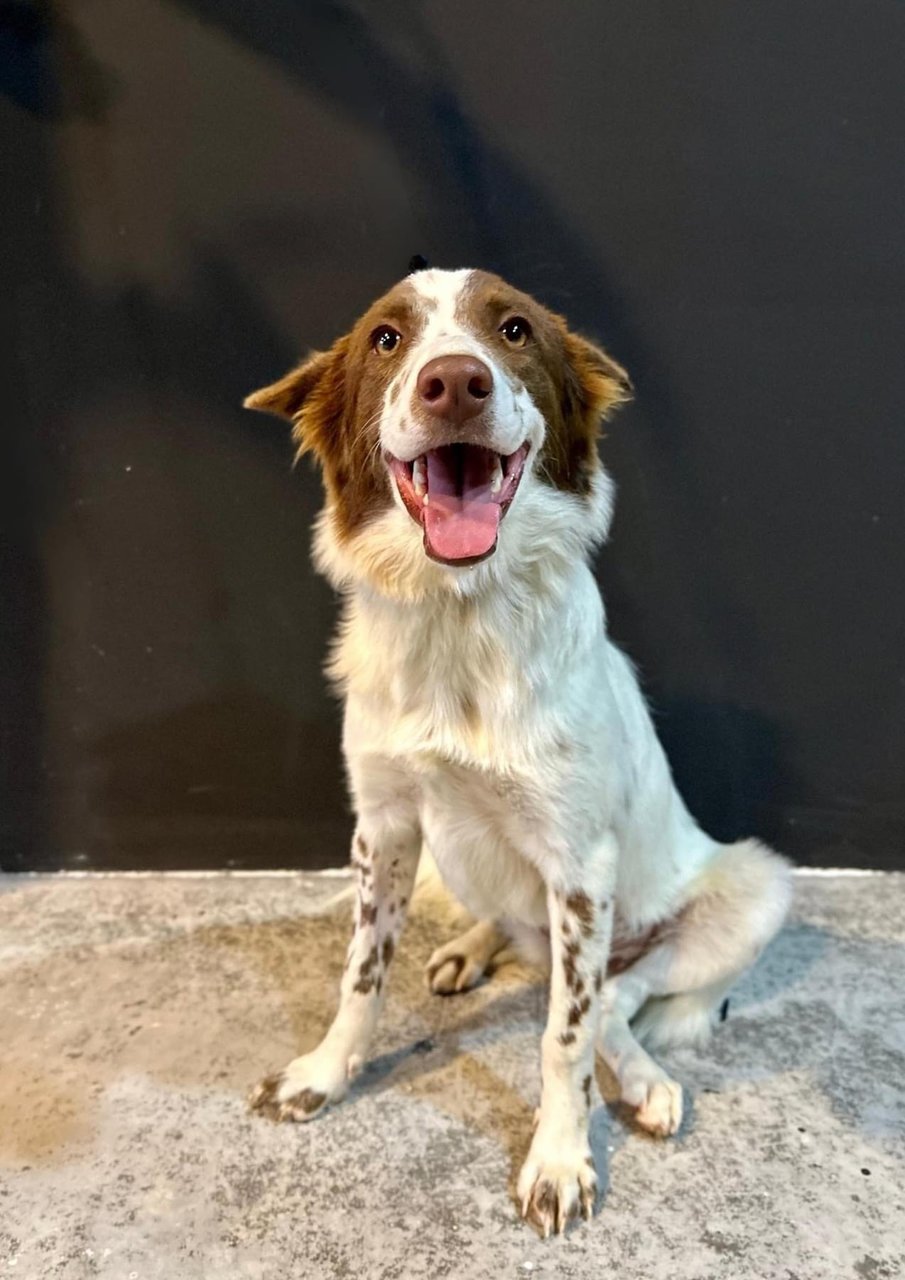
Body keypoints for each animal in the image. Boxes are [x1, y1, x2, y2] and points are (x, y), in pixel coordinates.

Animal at [245, 270, 793, 1239]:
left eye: (512, 330)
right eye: (386, 338)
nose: (455, 383)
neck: (458, 612)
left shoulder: (579, 867)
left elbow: (564, 1038)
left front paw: (561, 1159)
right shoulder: (383, 826)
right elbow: (360, 976)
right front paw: (324, 1073)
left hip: (747, 892)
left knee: (613, 999)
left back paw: (645, 1079)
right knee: (520, 934)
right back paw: (471, 948)